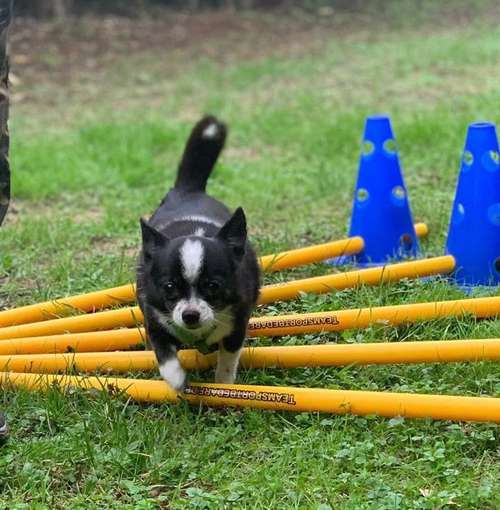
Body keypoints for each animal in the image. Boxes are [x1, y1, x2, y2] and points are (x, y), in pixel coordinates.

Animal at [138, 114, 262, 390]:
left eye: (213, 286)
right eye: (169, 288)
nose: (190, 315)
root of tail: (189, 190)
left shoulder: (237, 326)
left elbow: (227, 359)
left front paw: (224, 384)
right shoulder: (155, 319)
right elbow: (165, 354)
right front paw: (176, 379)